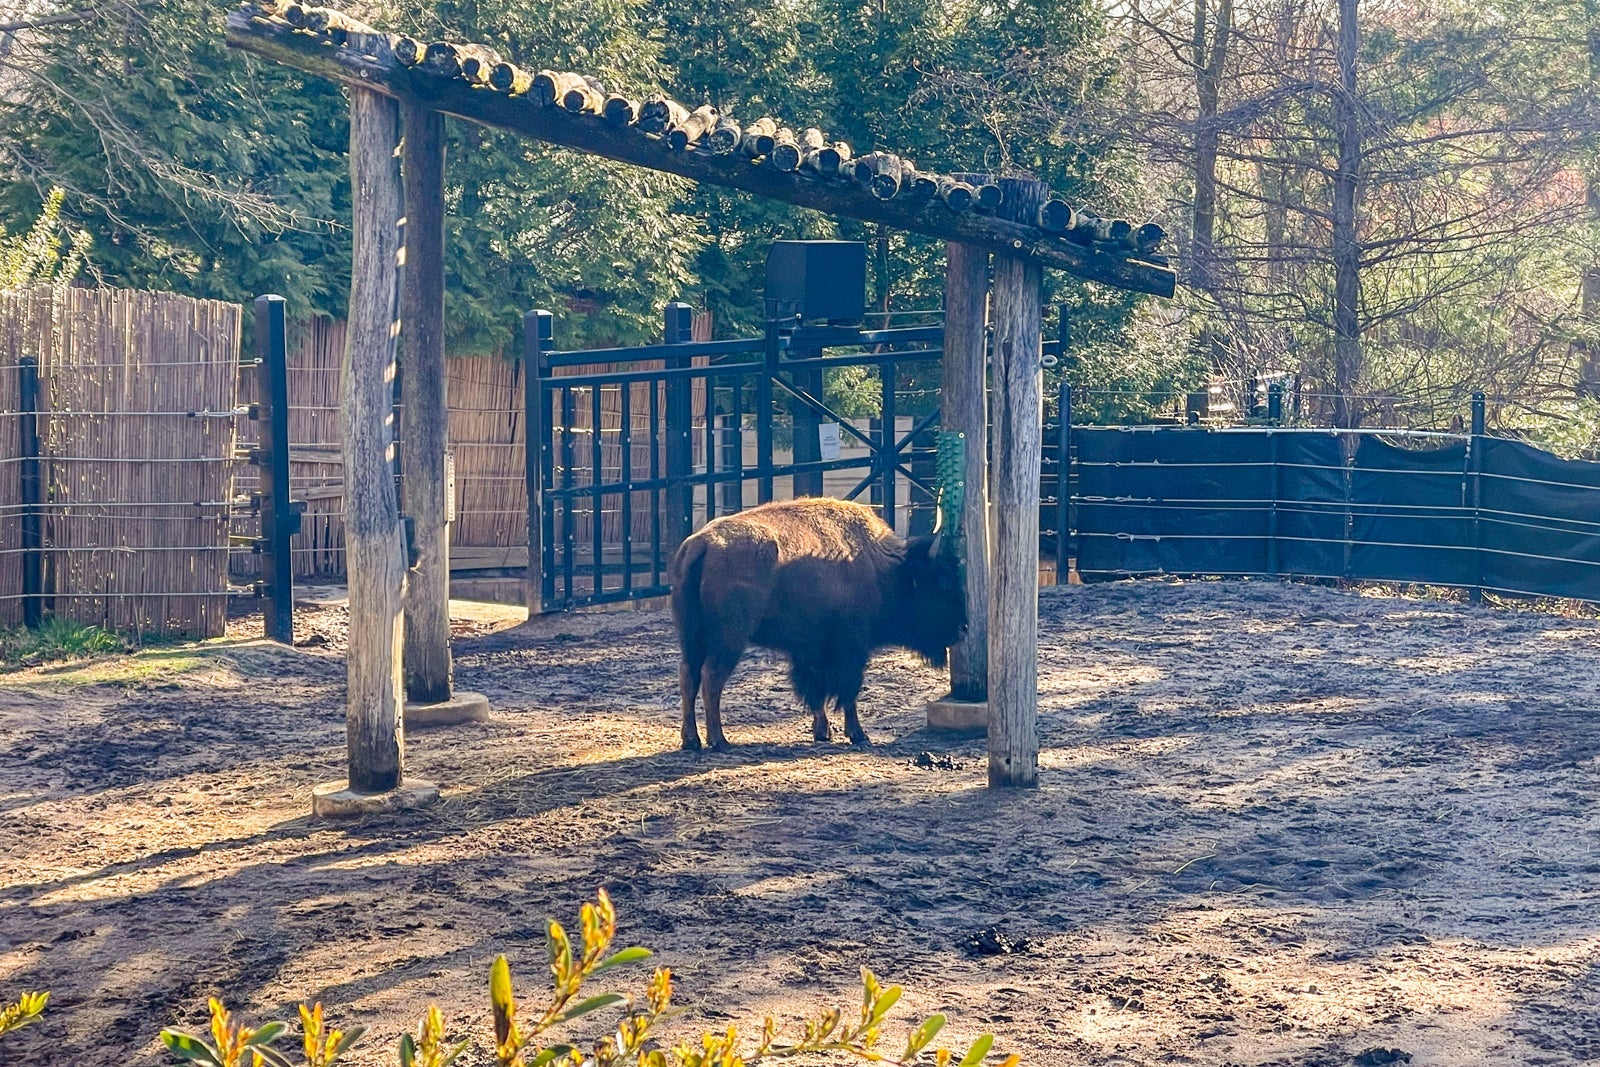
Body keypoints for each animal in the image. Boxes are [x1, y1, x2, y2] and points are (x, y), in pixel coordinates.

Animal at [668, 497, 967, 750]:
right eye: (941, 583)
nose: (962, 628)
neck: (881, 567)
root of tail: (700, 544)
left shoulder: (810, 649)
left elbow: (815, 691)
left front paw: (823, 732)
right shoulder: (851, 647)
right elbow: (848, 691)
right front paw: (858, 735)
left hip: (691, 637)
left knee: (689, 676)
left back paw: (692, 740)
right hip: (729, 639)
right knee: (711, 677)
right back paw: (718, 740)